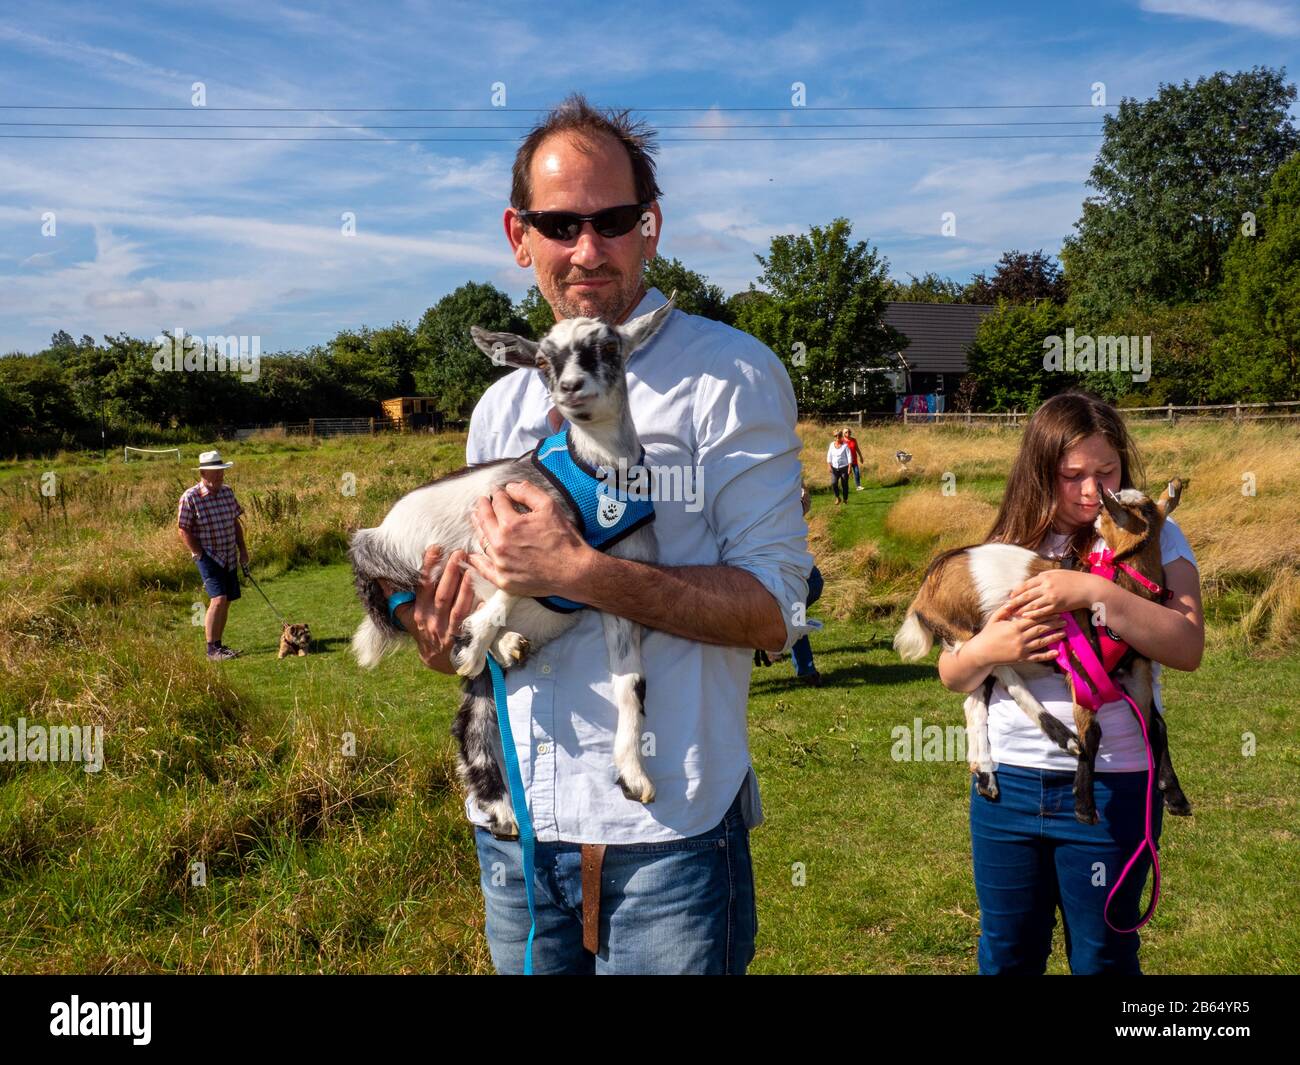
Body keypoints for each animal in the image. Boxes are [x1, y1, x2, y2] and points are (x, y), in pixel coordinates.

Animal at [348, 295, 676, 838]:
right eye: (543, 361)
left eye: (608, 347)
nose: (570, 389)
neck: (598, 474)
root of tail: (369, 538)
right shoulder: (510, 527)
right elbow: (509, 578)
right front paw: (482, 632)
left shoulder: (621, 591)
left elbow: (631, 683)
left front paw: (634, 775)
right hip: (425, 560)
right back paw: (488, 643)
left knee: (473, 715)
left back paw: (501, 807)